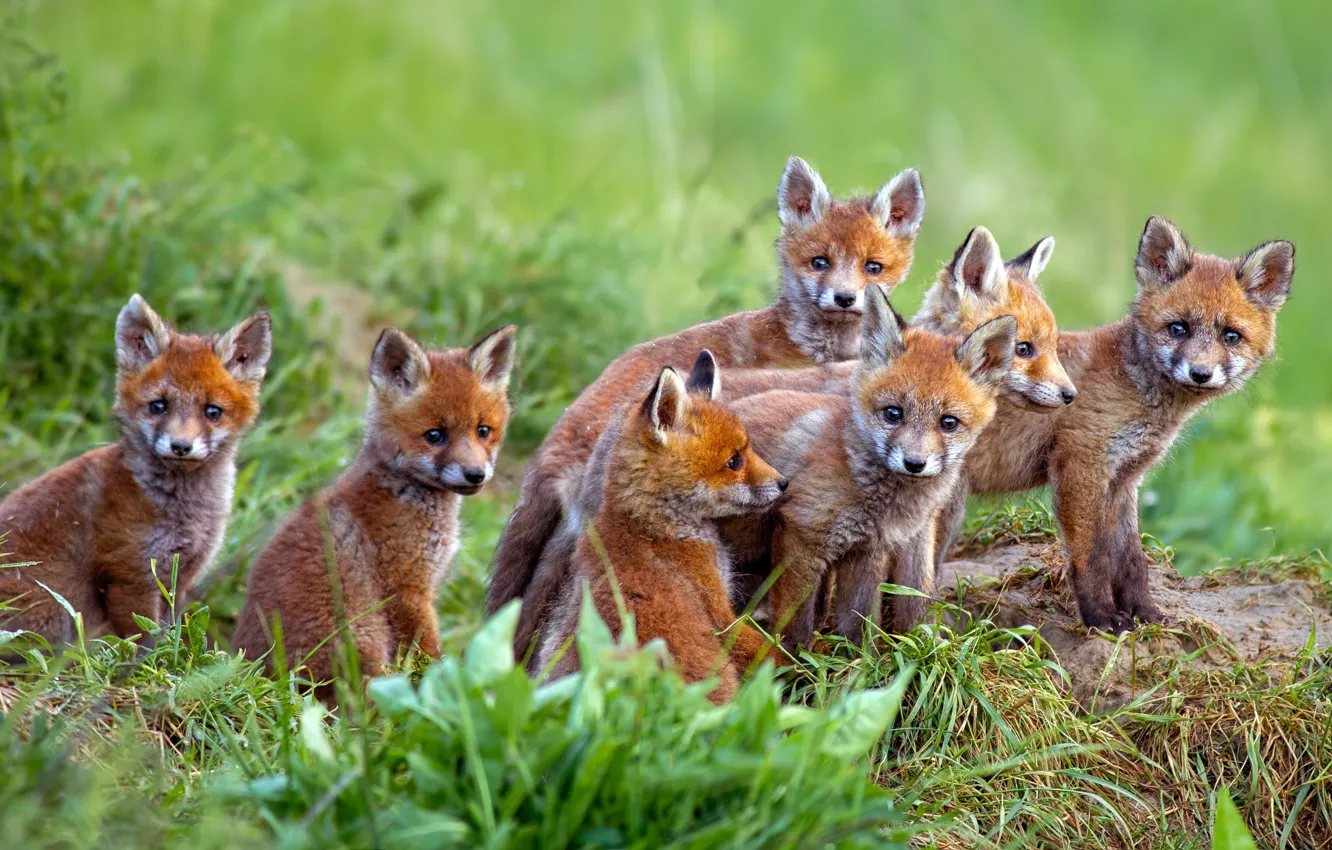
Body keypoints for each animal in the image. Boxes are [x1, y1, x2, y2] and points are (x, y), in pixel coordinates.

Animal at [0, 295, 272, 645]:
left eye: (212, 412)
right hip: (51, 616)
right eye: (158, 406)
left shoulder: (179, 578)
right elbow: (144, 641)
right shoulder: (129, 575)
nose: (180, 446)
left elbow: (170, 634)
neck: (186, 514)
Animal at [232, 325, 517, 689]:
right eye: (434, 435)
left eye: (483, 431)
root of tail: (258, 676)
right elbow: (427, 657)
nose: (476, 474)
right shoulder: (407, 589)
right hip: (363, 643)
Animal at [721, 286, 1015, 650]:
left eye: (948, 423)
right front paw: (790, 662)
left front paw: (894, 655)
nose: (914, 463)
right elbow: (796, 625)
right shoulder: (802, 538)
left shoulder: (875, 546)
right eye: (893, 413)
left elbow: (871, 616)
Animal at [934, 216, 1295, 632]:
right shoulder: (1081, 465)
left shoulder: (1124, 478)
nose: (1200, 373)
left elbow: (1131, 560)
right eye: (1178, 328)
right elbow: (1091, 556)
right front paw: (1102, 618)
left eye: (1231, 336)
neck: (1136, 390)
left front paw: (1147, 614)